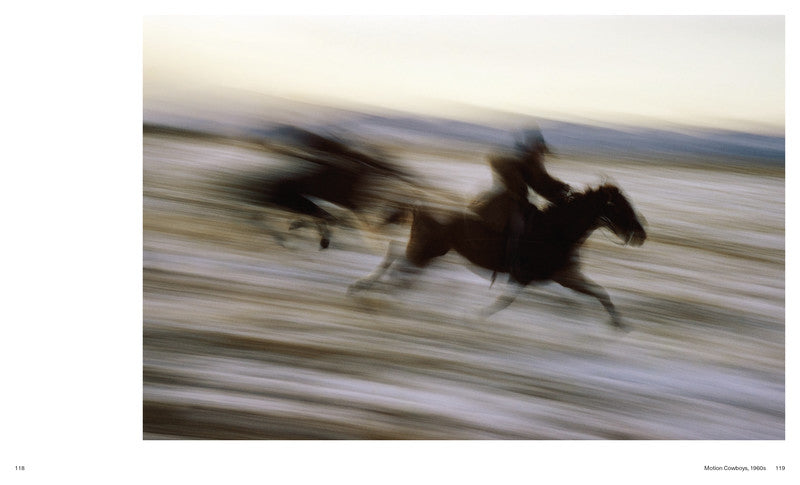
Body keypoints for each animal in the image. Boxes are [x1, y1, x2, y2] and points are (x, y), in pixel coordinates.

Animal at [346, 182, 648, 328]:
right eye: (619, 206)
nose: (641, 234)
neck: (554, 230)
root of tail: (419, 203)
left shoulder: (564, 275)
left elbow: (600, 293)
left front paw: (619, 325)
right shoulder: (525, 277)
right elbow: (504, 302)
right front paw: (474, 316)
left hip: (428, 250)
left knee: (396, 257)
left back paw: (365, 289)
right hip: (427, 250)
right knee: (399, 264)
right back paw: (372, 293)